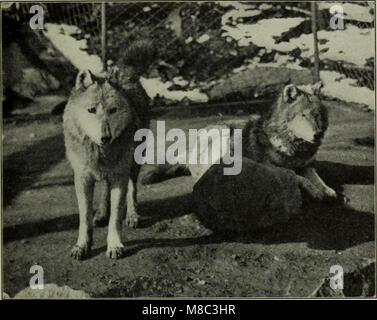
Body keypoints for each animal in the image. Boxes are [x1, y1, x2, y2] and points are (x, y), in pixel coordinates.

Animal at [63, 41, 153, 260]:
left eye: (113, 110)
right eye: (91, 110)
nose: (106, 138)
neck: (99, 151)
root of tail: (123, 70)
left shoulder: (119, 176)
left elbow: (116, 217)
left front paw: (114, 245)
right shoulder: (82, 179)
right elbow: (84, 218)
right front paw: (82, 245)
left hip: (134, 163)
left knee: (132, 189)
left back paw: (132, 215)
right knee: (104, 188)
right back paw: (101, 213)